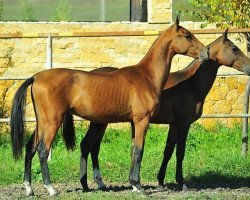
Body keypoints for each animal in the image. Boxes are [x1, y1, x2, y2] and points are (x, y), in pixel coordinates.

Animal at [10, 18, 208, 196]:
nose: (205, 52)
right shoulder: (142, 121)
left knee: (30, 148)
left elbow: (133, 151)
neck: (146, 76)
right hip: (52, 122)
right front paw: (138, 186)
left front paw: (133, 184)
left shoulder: (133, 122)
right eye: (187, 35)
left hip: (42, 123)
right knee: (43, 151)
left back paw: (29, 188)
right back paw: (50, 188)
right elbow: (139, 151)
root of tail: (36, 77)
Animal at [73, 28, 250, 191]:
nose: (249, 67)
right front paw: (181, 183)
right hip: (100, 122)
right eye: (234, 48)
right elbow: (179, 152)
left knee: (92, 147)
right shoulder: (183, 124)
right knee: (90, 146)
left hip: (100, 122)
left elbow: (168, 150)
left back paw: (97, 183)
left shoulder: (174, 124)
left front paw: (160, 181)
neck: (191, 84)